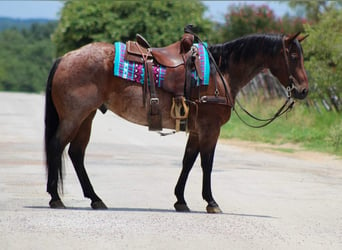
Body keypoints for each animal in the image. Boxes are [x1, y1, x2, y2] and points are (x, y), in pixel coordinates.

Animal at [44, 31, 308, 213]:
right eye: (293, 56)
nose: (304, 90)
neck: (220, 74)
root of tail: (65, 57)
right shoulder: (210, 130)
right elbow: (206, 164)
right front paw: (211, 201)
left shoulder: (196, 131)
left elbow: (188, 162)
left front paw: (180, 200)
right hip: (74, 117)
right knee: (57, 146)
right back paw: (55, 197)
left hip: (86, 117)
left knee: (76, 153)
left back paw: (95, 198)